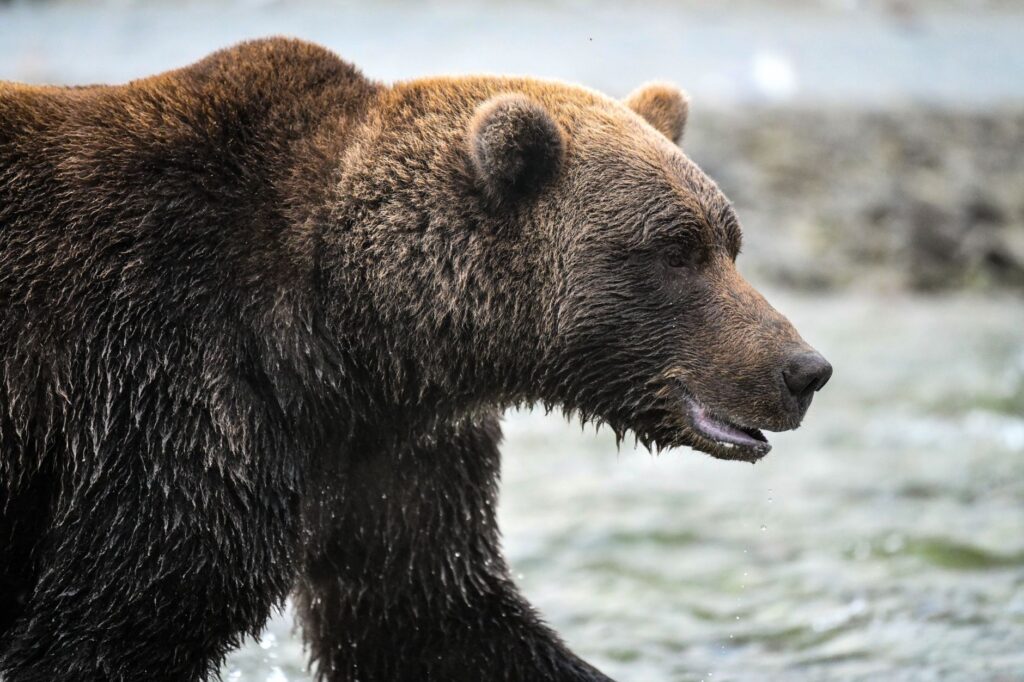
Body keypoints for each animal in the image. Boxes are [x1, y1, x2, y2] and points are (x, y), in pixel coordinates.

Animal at [0, 38, 832, 681]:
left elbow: (431, 616)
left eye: (729, 243)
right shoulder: (167, 397)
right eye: (676, 250)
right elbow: (119, 621)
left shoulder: (390, 449)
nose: (805, 370)